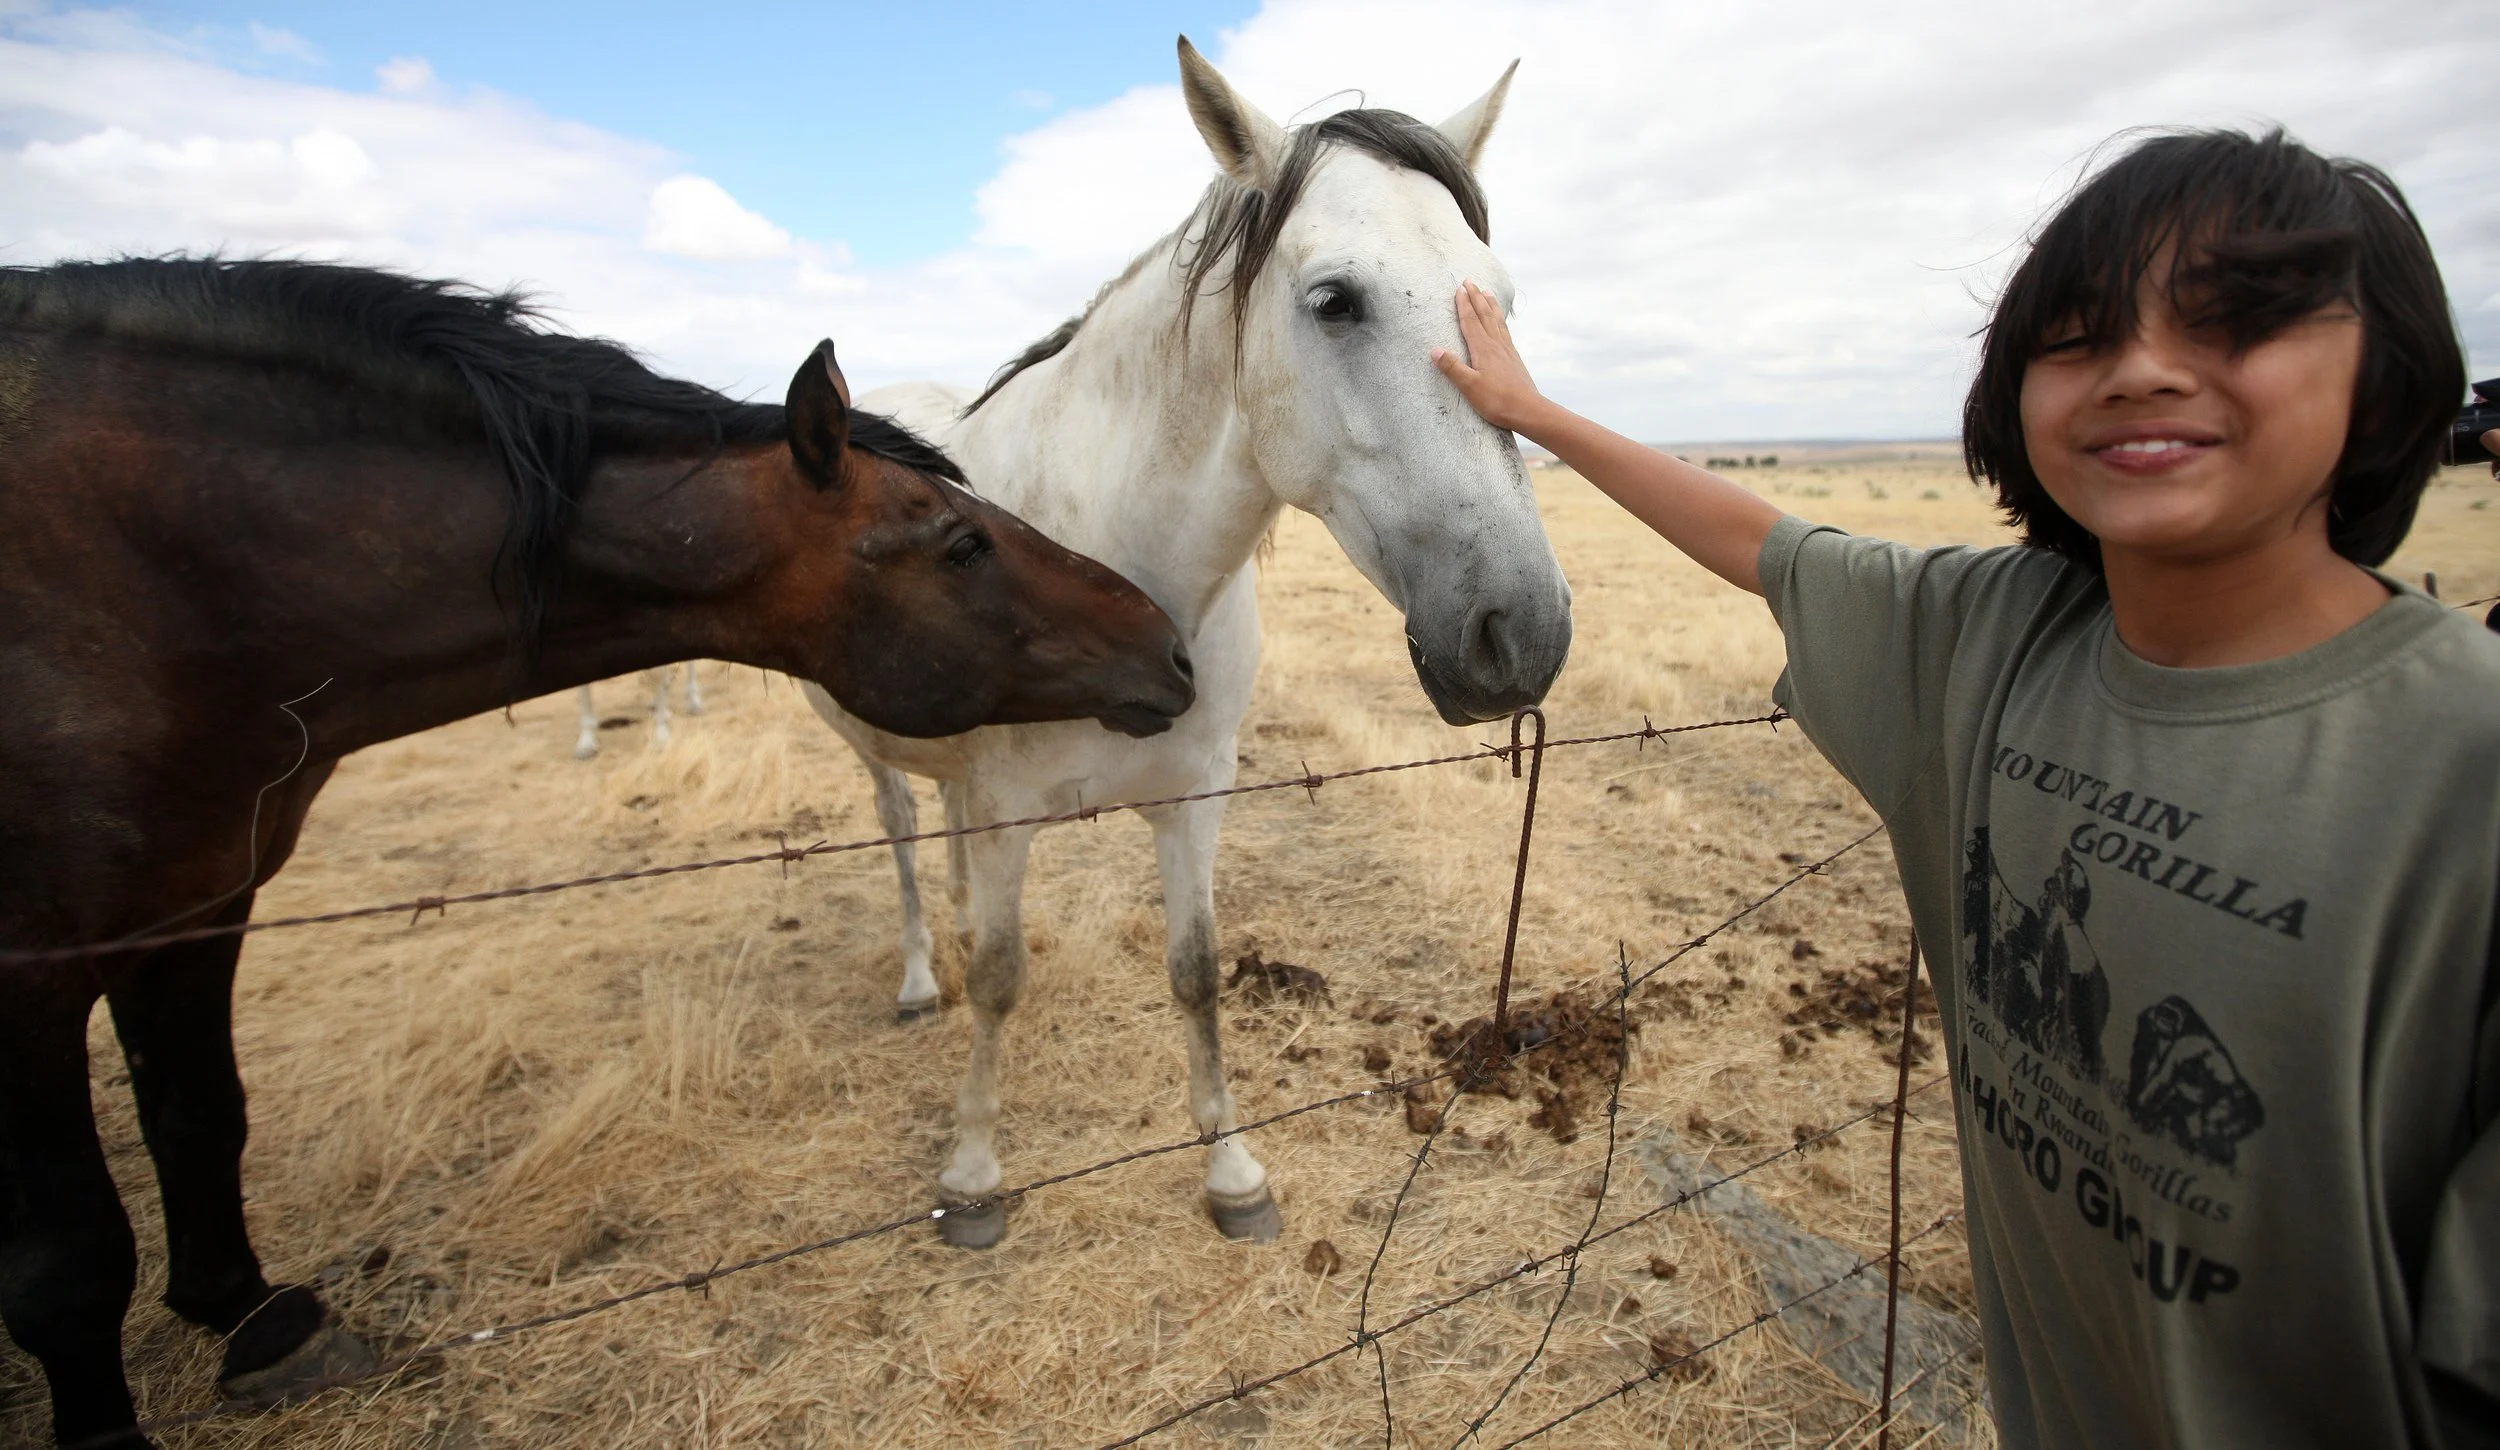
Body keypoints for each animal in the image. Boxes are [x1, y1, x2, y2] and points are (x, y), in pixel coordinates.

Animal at [805, 39, 1569, 1249]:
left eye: (1497, 300)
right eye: (1334, 301)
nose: (1521, 629)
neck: (1117, 565)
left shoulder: (1194, 797)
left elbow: (1196, 972)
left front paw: (1233, 1173)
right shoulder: (1011, 806)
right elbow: (1002, 979)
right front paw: (972, 1174)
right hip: (873, 753)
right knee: (906, 846)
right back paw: (922, 976)